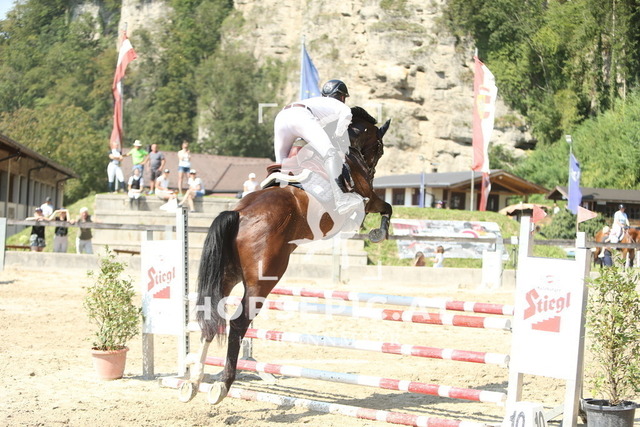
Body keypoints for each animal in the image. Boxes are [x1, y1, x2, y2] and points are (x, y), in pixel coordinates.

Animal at [180, 106, 392, 404]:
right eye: (380, 148)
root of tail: (238, 214)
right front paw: (377, 233)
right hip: (263, 280)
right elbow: (386, 206)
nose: (370, 169)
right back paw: (222, 385)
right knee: (238, 323)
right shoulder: (366, 198)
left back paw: (194, 381)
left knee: (212, 317)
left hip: (227, 275)